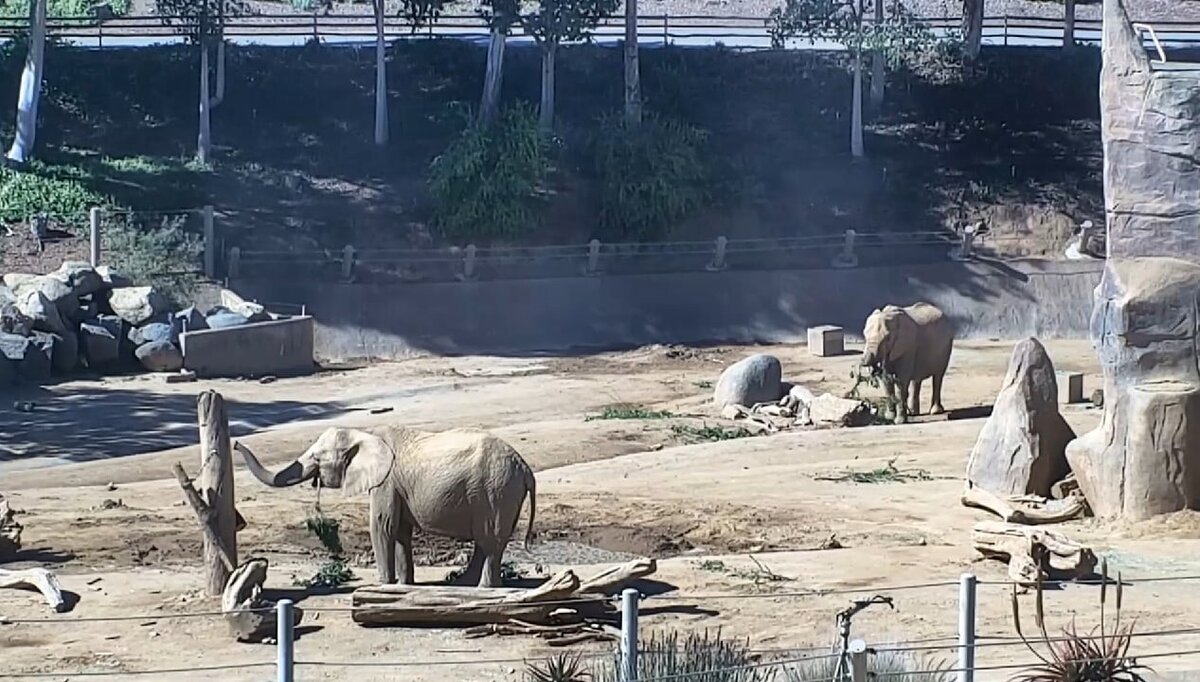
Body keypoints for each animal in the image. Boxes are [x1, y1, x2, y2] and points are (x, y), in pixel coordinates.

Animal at [234, 422, 535, 588]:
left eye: (317, 458)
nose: (236, 443)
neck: (363, 434)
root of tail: (525, 468)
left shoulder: (386, 482)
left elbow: (382, 526)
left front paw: (383, 585)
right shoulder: (396, 487)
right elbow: (400, 531)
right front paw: (404, 584)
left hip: (495, 491)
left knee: (489, 540)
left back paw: (483, 588)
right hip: (498, 491)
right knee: (486, 542)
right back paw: (463, 584)